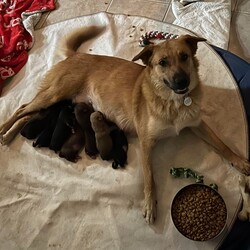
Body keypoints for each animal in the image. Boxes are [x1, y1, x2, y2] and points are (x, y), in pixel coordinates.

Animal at [0, 26, 250, 224]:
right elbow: (149, 177)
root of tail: (76, 56)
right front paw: (150, 205)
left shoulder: (197, 124)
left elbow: (223, 145)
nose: (182, 82)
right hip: (54, 95)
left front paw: (240, 161)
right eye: (162, 63)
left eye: (184, 56)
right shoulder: (147, 142)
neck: (173, 101)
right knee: (22, 108)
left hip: (56, 102)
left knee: (29, 114)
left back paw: (10, 133)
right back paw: (4, 131)